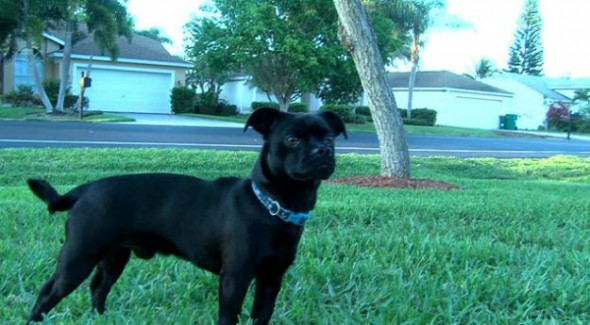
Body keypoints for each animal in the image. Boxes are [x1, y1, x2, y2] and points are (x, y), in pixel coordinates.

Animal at [25, 107, 346, 322]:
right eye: (292, 139)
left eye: (330, 137)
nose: (323, 150)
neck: (272, 205)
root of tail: (86, 188)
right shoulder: (235, 279)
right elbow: (229, 317)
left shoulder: (270, 280)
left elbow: (261, 317)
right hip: (77, 259)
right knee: (47, 294)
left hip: (114, 258)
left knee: (98, 288)